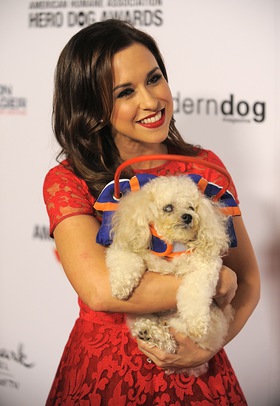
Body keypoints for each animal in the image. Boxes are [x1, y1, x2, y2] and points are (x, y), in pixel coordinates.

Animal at [105, 176, 234, 376]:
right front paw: (121, 288)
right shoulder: (127, 247)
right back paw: (149, 332)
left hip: (207, 324)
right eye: (168, 208)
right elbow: (126, 260)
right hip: (138, 314)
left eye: (191, 207)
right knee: (145, 324)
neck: (172, 248)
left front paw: (196, 324)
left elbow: (195, 294)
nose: (188, 217)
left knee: (175, 341)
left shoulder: (205, 267)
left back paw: (159, 338)